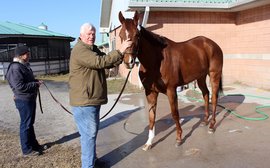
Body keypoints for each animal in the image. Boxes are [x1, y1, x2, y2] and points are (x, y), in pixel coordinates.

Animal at [119, 11, 223, 151]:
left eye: (136, 35)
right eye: (120, 35)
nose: (128, 61)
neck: (156, 61)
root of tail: (212, 44)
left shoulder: (171, 90)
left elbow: (175, 114)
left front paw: (179, 138)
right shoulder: (150, 92)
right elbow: (151, 116)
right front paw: (149, 143)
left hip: (214, 75)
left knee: (214, 98)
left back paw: (212, 125)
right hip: (200, 77)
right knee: (206, 94)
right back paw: (205, 121)